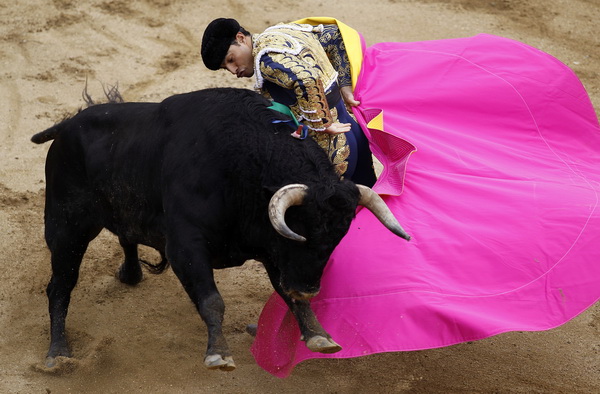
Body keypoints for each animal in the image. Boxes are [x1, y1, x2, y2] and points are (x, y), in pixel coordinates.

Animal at [31, 87, 408, 370]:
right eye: (301, 229)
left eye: (338, 237)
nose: (309, 288)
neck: (245, 166)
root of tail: (66, 126)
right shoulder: (187, 245)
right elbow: (212, 301)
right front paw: (218, 354)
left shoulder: (272, 251)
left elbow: (284, 293)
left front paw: (319, 336)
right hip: (66, 227)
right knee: (60, 287)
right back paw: (57, 355)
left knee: (125, 236)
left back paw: (131, 274)